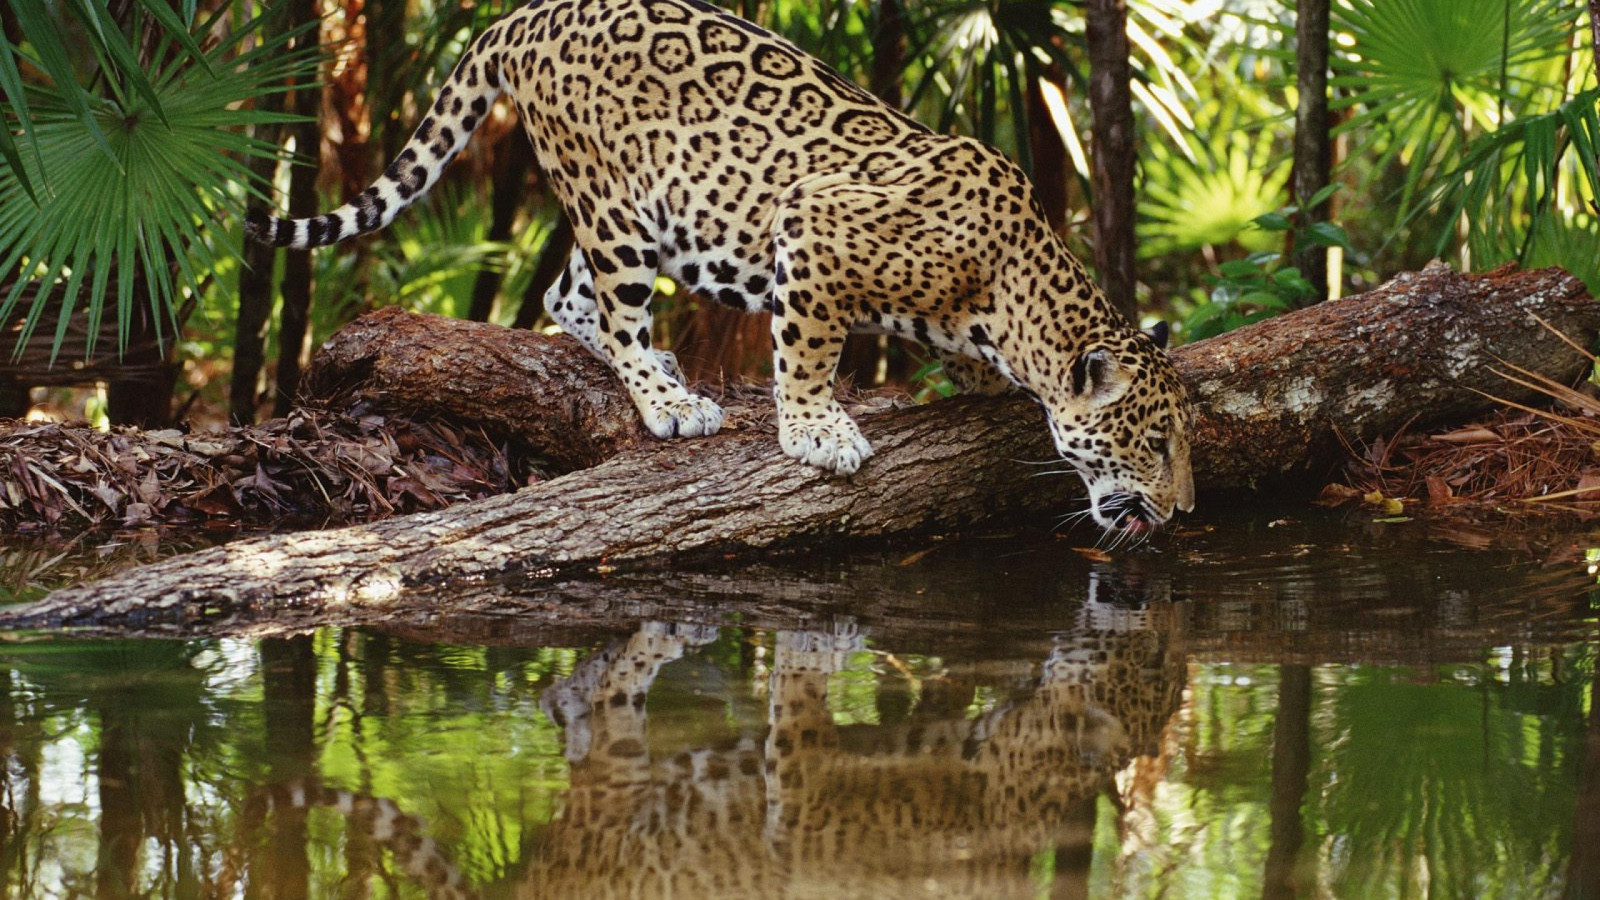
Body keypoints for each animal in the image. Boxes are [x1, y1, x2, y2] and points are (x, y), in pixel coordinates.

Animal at [245, 0, 1196, 533]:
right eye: (1152, 442)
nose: (1185, 510)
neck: (1014, 287)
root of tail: (528, 14)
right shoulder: (811, 225)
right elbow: (808, 351)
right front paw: (817, 430)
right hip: (617, 207)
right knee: (613, 306)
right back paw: (668, 401)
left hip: (653, 216)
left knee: (563, 289)